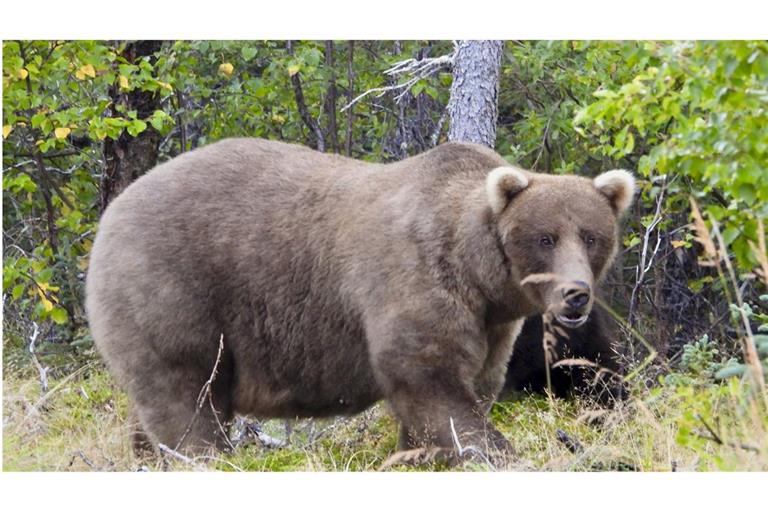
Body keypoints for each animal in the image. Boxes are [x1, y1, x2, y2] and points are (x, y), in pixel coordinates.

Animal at [85, 137, 636, 460]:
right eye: (545, 237)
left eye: (591, 236)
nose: (575, 295)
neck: (478, 273)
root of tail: (112, 209)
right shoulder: (415, 278)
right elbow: (430, 378)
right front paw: (490, 450)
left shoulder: (492, 323)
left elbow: (476, 381)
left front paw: (419, 455)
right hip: (174, 289)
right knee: (187, 396)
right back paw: (202, 456)